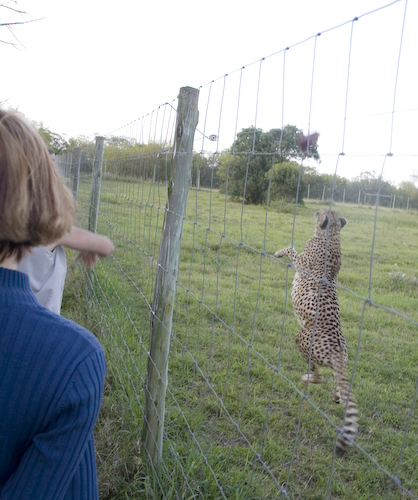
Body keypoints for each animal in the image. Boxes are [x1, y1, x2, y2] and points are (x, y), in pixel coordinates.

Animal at [276, 209, 358, 452]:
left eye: (323, 213)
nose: (316, 210)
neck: (332, 235)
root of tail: (339, 351)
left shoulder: (302, 262)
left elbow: (291, 248)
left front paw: (278, 252)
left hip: (302, 338)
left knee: (320, 376)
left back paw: (308, 378)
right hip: (340, 361)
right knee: (338, 382)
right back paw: (336, 396)